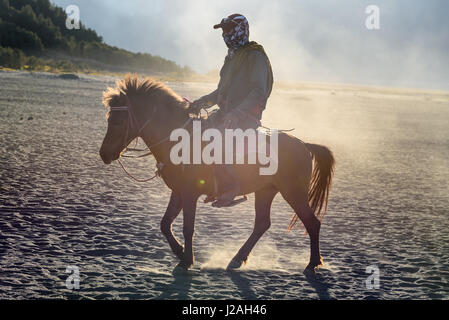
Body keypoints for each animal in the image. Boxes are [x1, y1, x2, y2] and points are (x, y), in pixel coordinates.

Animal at [100, 74, 332, 272]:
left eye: (118, 121)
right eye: (108, 119)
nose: (104, 154)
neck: (180, 140)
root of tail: (304, 145)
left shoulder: (189, 194)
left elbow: (188, 227)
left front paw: (186, 260)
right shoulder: (178, 192)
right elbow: (165, 224)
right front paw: (180, 252)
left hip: (293, 192)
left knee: (312, 222)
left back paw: (312, 264)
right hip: (266, 191)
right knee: (262, 224)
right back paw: (238, 258)